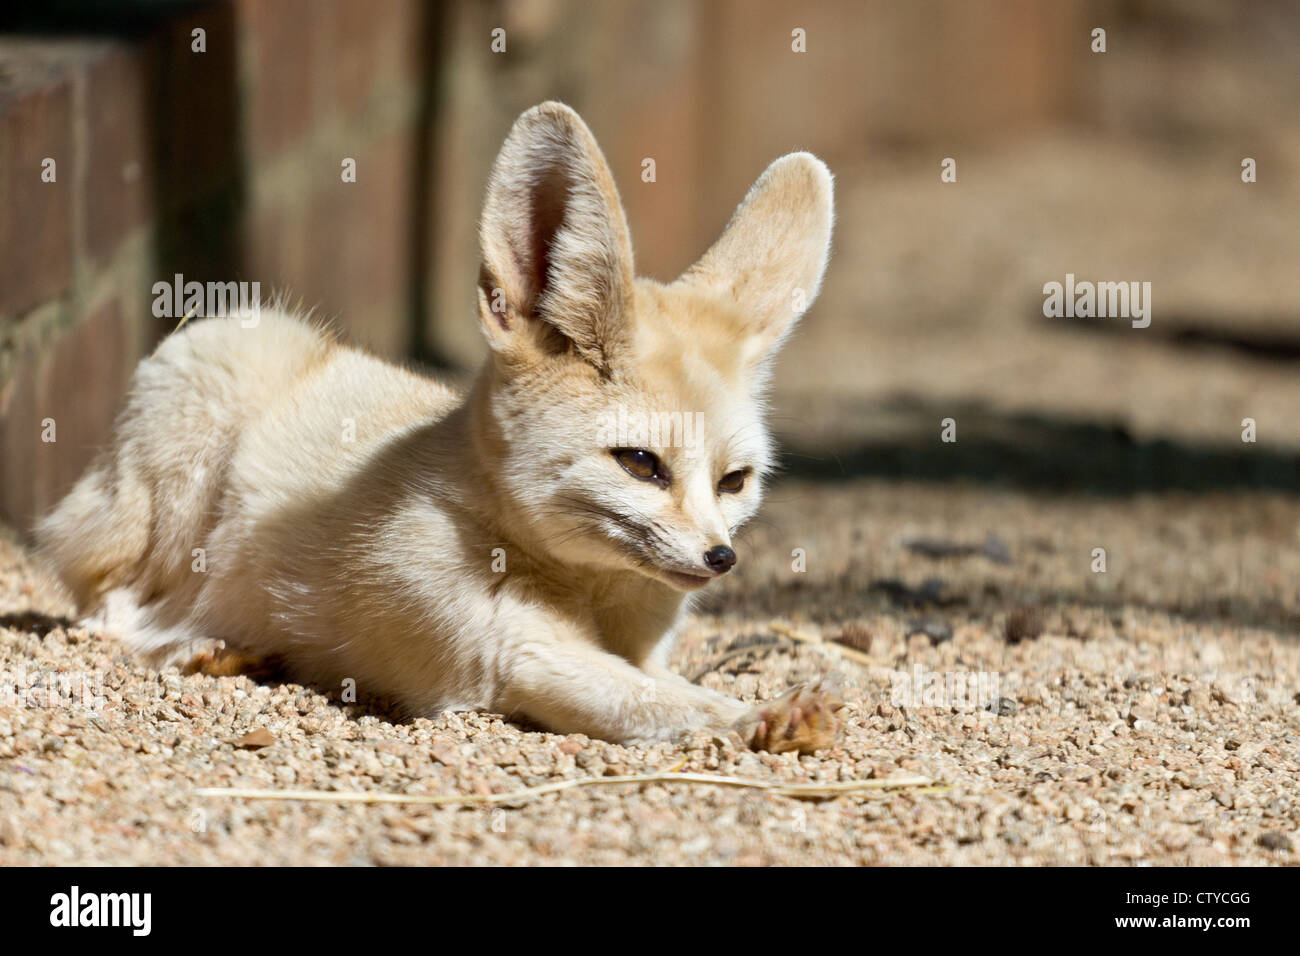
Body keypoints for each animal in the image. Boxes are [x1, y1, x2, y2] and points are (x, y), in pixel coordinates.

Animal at [40, 102, 842, 754]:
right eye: (640, 463)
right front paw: (760, 715)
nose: (720, 558)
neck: (595, 594)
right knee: (108, 608)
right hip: (197, 439)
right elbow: (667, 705)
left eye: (735, 481)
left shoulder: (632, 652)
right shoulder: (513, 657)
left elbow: (670, 688)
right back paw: (197, 644)